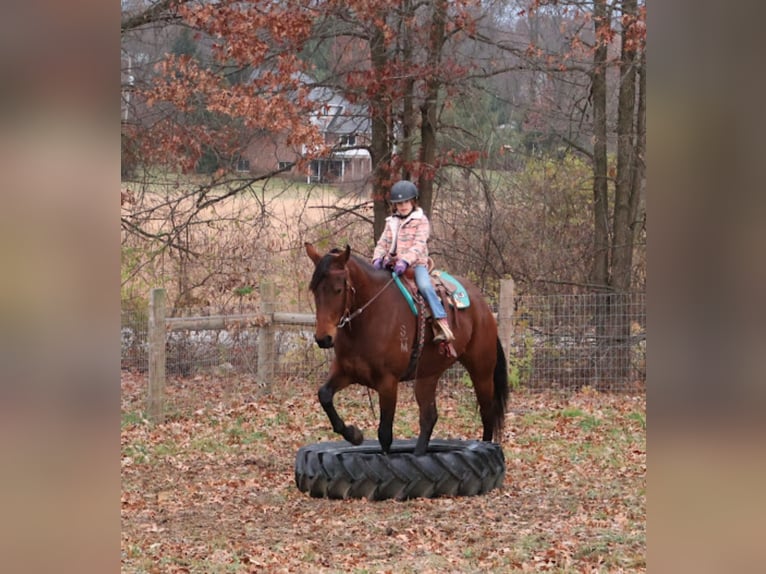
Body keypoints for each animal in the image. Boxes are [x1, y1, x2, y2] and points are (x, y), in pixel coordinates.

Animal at [304, 243, 510, 456]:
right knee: (429, 417)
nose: (323, 338)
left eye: (338, 290)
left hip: (481, 371)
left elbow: (385, 434)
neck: (370, 318)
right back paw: (418, 454)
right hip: (428, 375)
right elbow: (324, 395)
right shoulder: (345, 371)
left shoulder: (388, 382)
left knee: (487, 413)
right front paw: (354, 434)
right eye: (314, 290)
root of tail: (483, 306)